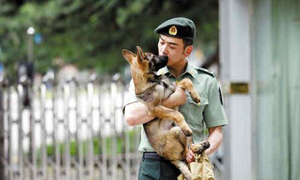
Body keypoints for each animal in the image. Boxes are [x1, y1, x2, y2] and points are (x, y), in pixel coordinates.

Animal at [123, 46, 207, 179]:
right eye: (153, 56)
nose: (167, 56)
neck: (155, 81)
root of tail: (171, 159)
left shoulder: (174, 91)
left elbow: (186, 80)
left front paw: (195, 96)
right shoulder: (154, 109)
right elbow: (176, 114)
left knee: (190, 149)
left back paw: (201, 145)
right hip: (176, 130)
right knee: (186, 154)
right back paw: (191, 137)